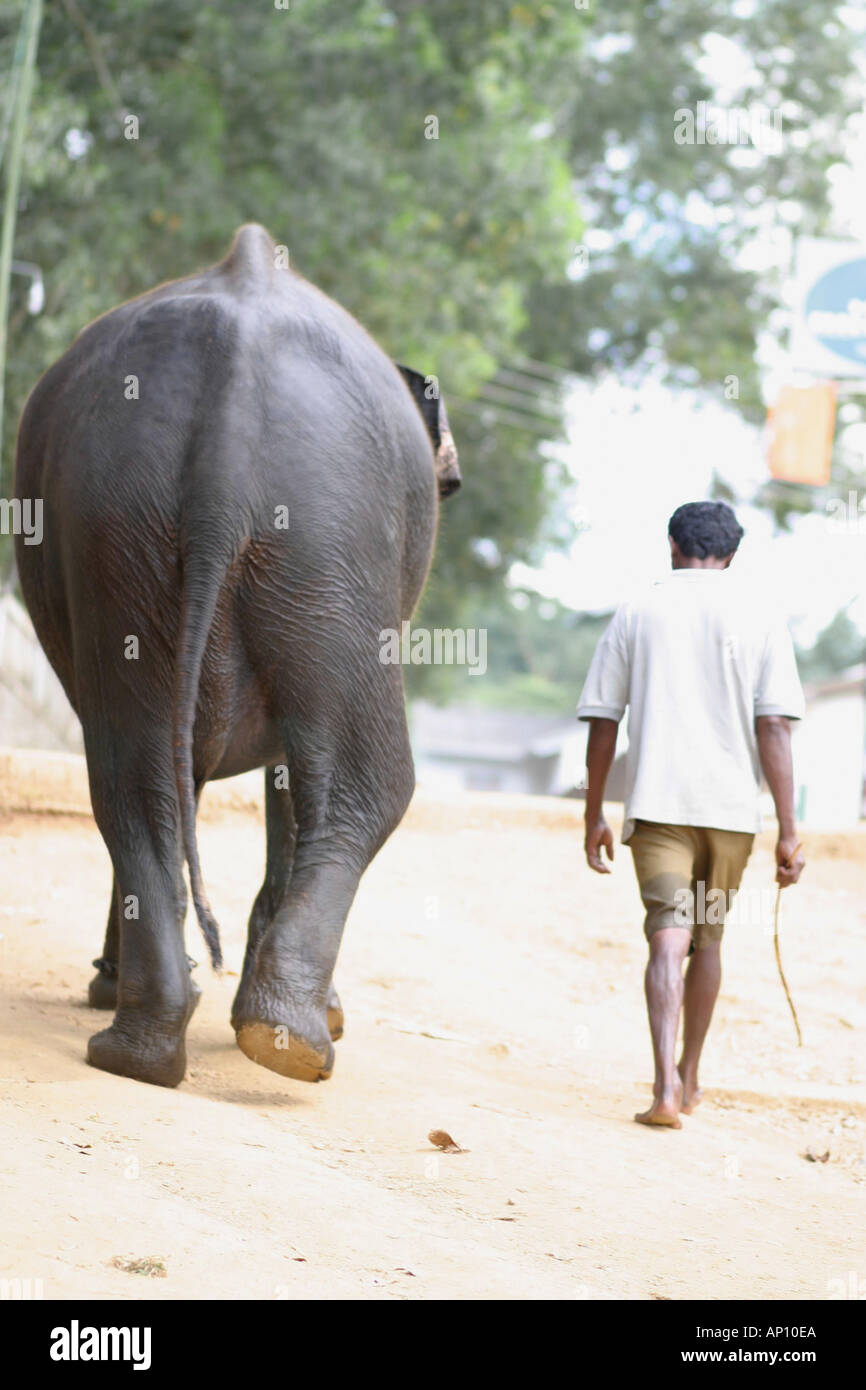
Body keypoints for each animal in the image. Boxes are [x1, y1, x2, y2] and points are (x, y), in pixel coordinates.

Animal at [14, 223, 460, 1088]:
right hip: (327, 541)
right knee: (369, 781)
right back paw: (284, 1039)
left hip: (123, 527)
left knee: (132, 771)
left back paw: (149, 1048)